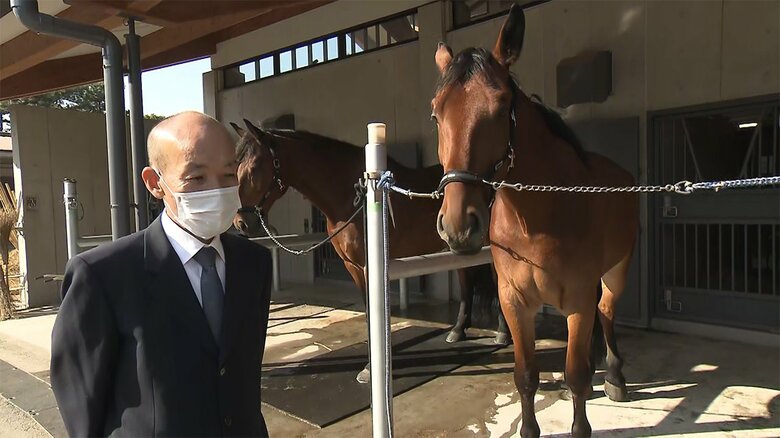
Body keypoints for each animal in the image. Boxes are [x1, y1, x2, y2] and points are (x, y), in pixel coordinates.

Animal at [230, 120, 510, 382]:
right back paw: (457, 330)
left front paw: (371, 369)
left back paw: (501, 334)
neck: (350, 197)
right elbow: (367, 314)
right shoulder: (353, 267)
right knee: (466, 281)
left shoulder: (368, 266)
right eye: (236, 170)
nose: (241, 223)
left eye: (254, 168)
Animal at [431, 5, 637, 437]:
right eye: (436, 113)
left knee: (607, 311)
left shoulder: (576, 302)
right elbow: (526, 376)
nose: (458, 226)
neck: (537, 220)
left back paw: (614, 376)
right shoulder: (514, 302)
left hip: (617, 271)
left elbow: (575, 375)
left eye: (499, 107)